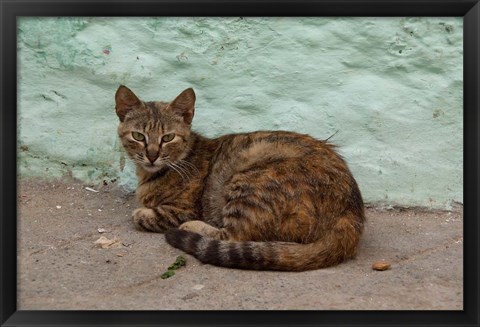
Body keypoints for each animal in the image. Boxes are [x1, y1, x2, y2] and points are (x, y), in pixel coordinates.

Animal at [115, 85, 364, 272]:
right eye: (138, 136)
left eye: (168, 137)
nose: (152, 155)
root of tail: (349, 214)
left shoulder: (182, 210)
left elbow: (142, 215)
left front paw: (144, 213)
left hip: (249, 180)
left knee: (234, 237)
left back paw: (193, 228)